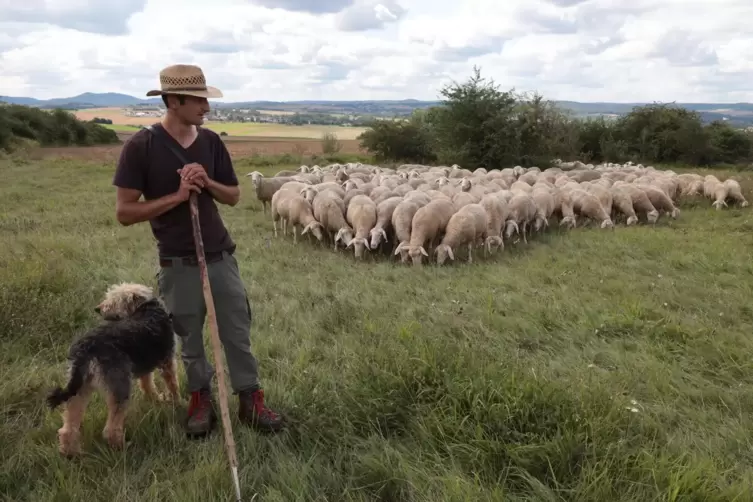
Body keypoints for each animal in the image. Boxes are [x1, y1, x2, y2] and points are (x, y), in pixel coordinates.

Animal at [46, 284, 179, 456]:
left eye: (114, 300)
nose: (98, 308)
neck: (146, 309)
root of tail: (85, 348)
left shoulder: (145, 365)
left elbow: (148, 386)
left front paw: (156, 400)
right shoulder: (167, 361)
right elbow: (172, 384)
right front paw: (177, 402)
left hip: (80, 387)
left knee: (67, 428)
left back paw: (70, 453)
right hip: (119, 385)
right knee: (110, 429)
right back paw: (123, 448)